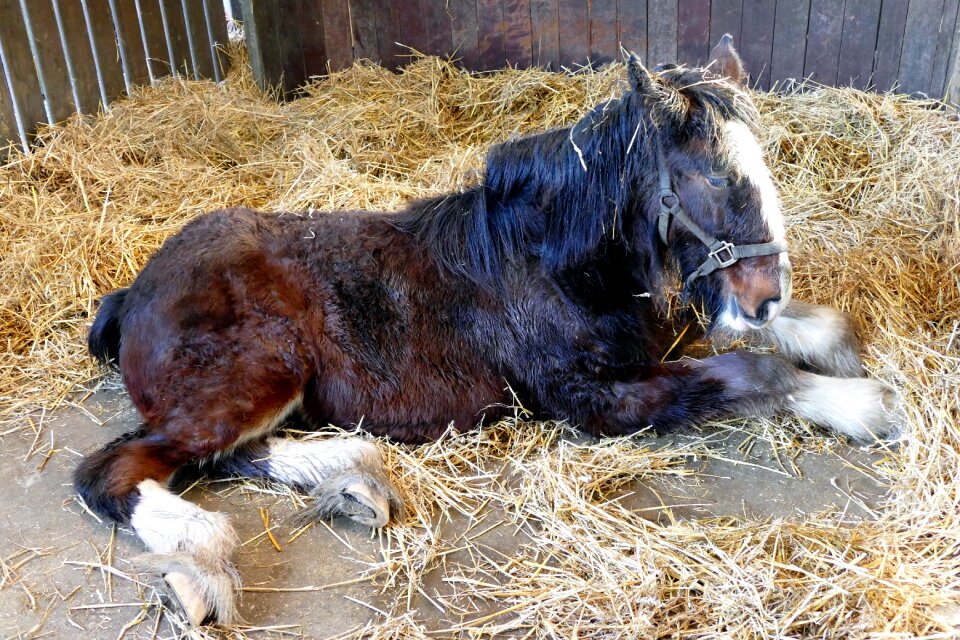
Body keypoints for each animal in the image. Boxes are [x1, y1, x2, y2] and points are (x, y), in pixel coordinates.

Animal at [75, 37, 900, 628]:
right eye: (716, 179)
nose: (764, 293)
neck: (553, 263)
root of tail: (132, 291)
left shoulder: (667, 337)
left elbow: (777, 336)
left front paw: (834, 348)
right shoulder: (596, 400)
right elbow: (753, 373)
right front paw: (866, 406)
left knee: (226, 454)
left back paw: (353, 481)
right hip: (259, 370)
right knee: (119, 468)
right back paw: (198, 566)